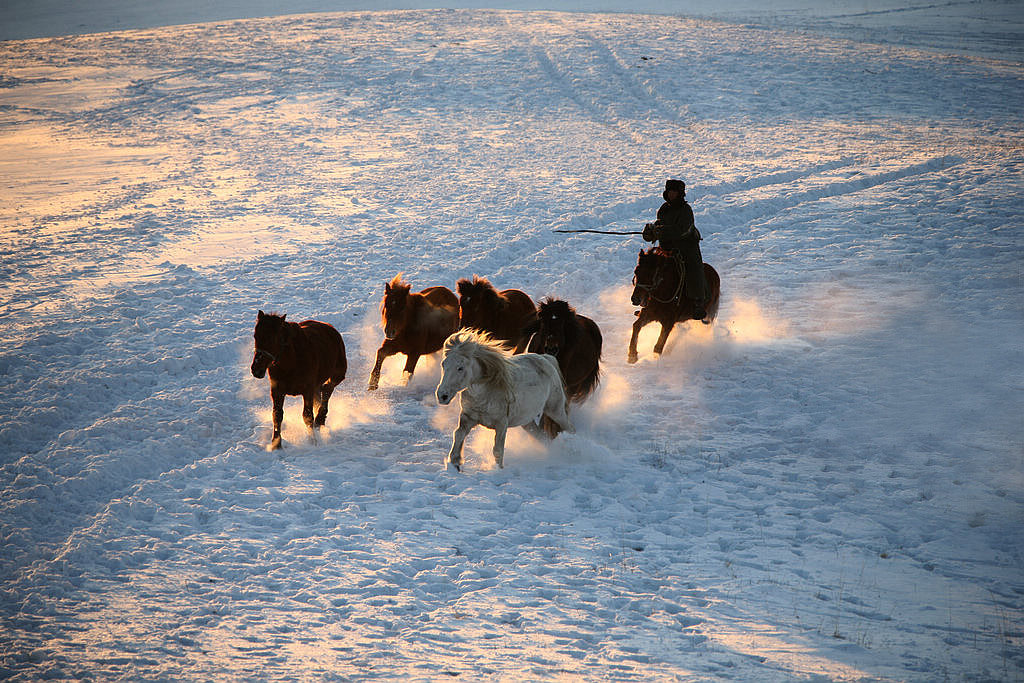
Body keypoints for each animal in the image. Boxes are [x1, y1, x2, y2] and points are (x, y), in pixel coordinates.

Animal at [248, 309, 346, 448]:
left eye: (273, 338)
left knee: (327, 389)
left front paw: (312, 440)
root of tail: (330, 328)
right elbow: (277, 415)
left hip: (339, 373)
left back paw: (320, 419)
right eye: (256, 336)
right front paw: (276, 444)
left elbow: (308, 416)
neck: (291, 362)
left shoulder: (307, 390)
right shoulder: (277, 391)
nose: (256, 369)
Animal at [434, 329, 573, 471]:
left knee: (569, 427)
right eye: (443, 364)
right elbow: (458, 434)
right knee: (542, 437)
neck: (485, 395)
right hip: (527, 421)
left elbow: (497, 449)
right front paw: (455, 462)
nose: (442, 395)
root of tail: (546, 358)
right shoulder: (468, 417)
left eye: (460, 368)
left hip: (555, 410)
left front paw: (498, 468)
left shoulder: (501, 424)